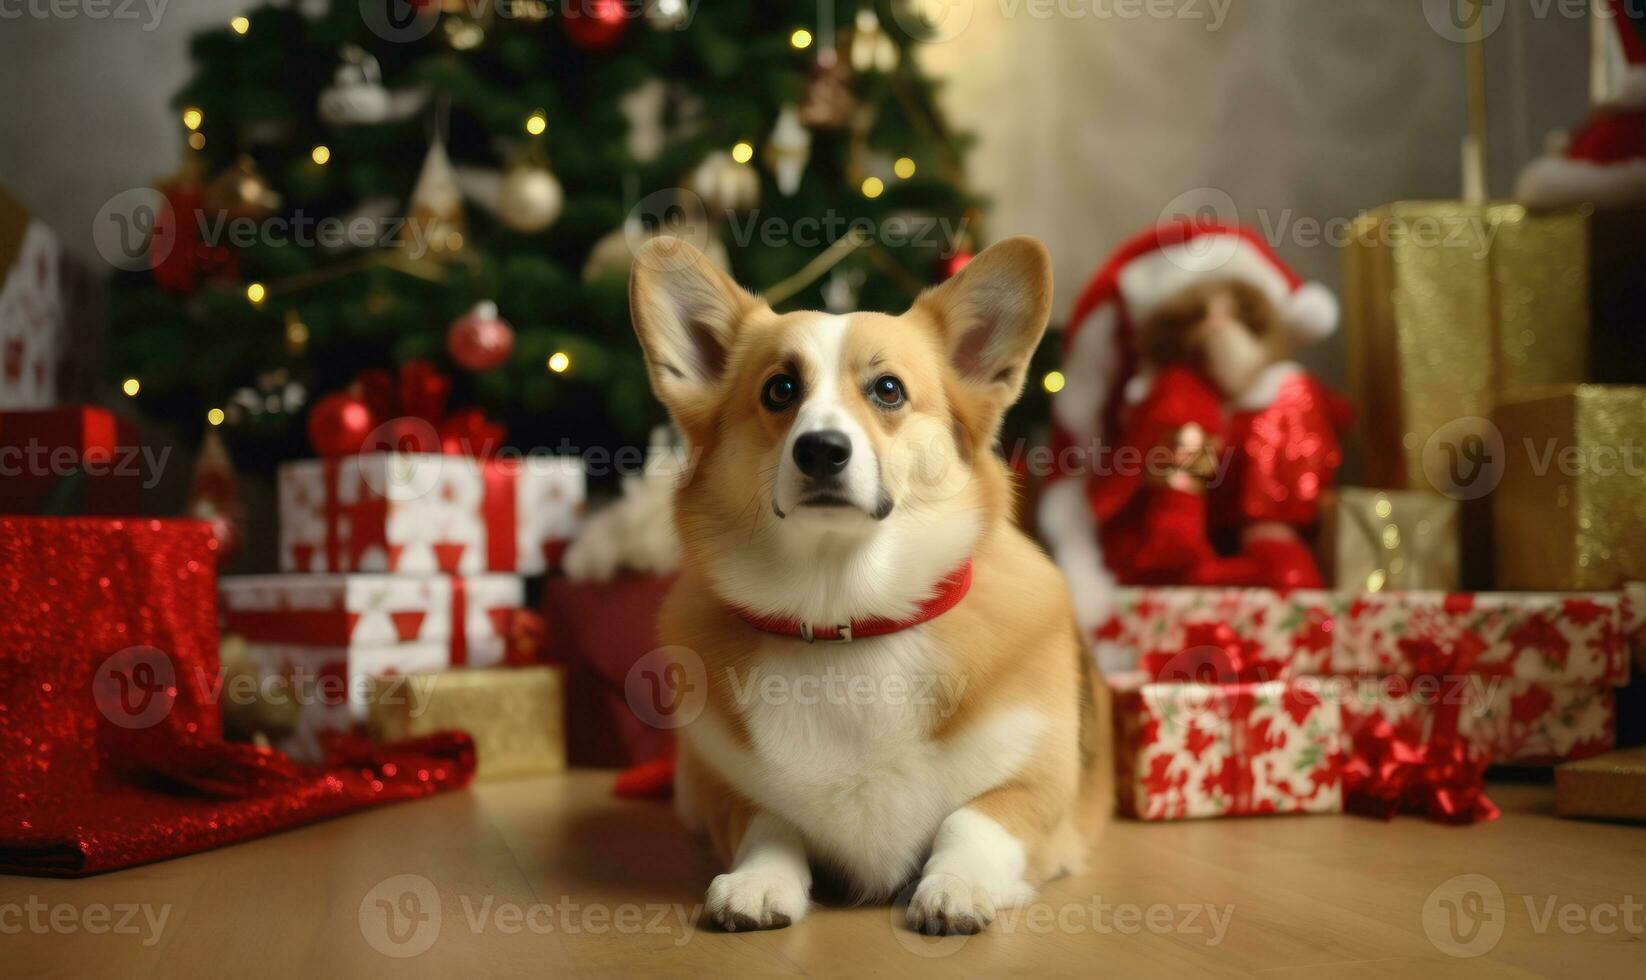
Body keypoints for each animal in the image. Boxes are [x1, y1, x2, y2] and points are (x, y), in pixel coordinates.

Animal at [625, 232, 1106, 935]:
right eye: (780, 389)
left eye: (887, 390)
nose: (821, 450)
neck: (847, 614)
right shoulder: (722, 790)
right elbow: (769, 824)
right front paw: (757, 884)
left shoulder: (1037, 792)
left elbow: (973, 820)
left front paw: (955, 886)